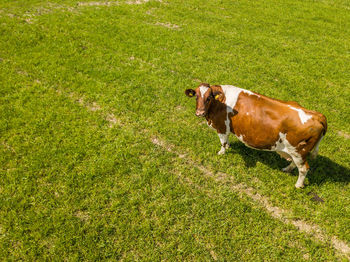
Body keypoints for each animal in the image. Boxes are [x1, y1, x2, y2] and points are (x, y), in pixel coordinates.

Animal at [185, 83, 326, 187]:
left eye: (209, 98)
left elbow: (223, 142)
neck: (220, 102)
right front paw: (228, 147)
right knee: (295, 164)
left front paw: (222, 152)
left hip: (298, 151)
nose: (200, 112)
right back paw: (287, 169)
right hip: (296, 152)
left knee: (303, 168)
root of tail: (317, 116)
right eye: (196, 97)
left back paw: (298, 185)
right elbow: (227, 140)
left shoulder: (221, 127)